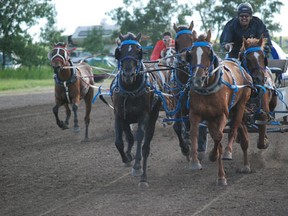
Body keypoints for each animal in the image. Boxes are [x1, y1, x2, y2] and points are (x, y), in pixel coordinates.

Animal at [186, 30, 253, 186]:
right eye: (191, 54)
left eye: (208, 53)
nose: (197, 80)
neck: (208, 89)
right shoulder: (196, 114)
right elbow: (194, 133)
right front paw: (195, 162)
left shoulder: (222, 114)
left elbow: (218, 136)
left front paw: (214, 157)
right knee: (241, 132)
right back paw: (243, 165)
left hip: (240, 106)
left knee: (234, 128)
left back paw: (230, 153)